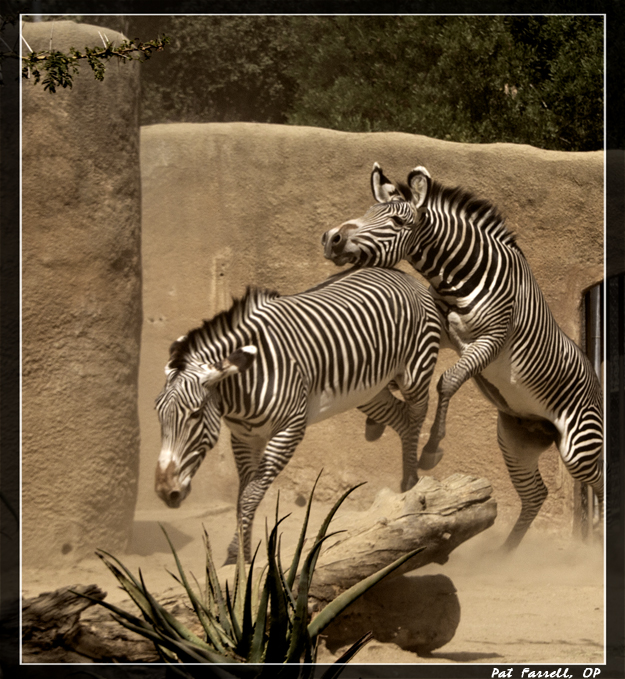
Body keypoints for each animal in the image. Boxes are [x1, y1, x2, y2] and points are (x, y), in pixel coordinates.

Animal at [155, 266, 441, 564]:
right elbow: (242, 497)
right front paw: (238, 558)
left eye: (196, 414)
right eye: (157, 412)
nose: (165, 491)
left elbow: (249, 496)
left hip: (415, 372)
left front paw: (240, 561)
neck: (243, 385)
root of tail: (399, 273)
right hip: (368, 393)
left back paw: (413, 485)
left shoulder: (289, 430)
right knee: (403, 420)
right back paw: (405, 490)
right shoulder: (244, 438)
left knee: (416, 418)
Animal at [322, 163, 603, 550]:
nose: (332, 237)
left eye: (396, 221)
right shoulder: (443, 330)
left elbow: (448, 381)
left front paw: (431, 448)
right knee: (535, 494)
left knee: (602, 480)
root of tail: (595, 377)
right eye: (367, 211)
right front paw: (375, 422)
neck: (460, 278)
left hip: (579, 446)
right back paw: (503, 555)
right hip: (516, 440)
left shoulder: (492, 339)